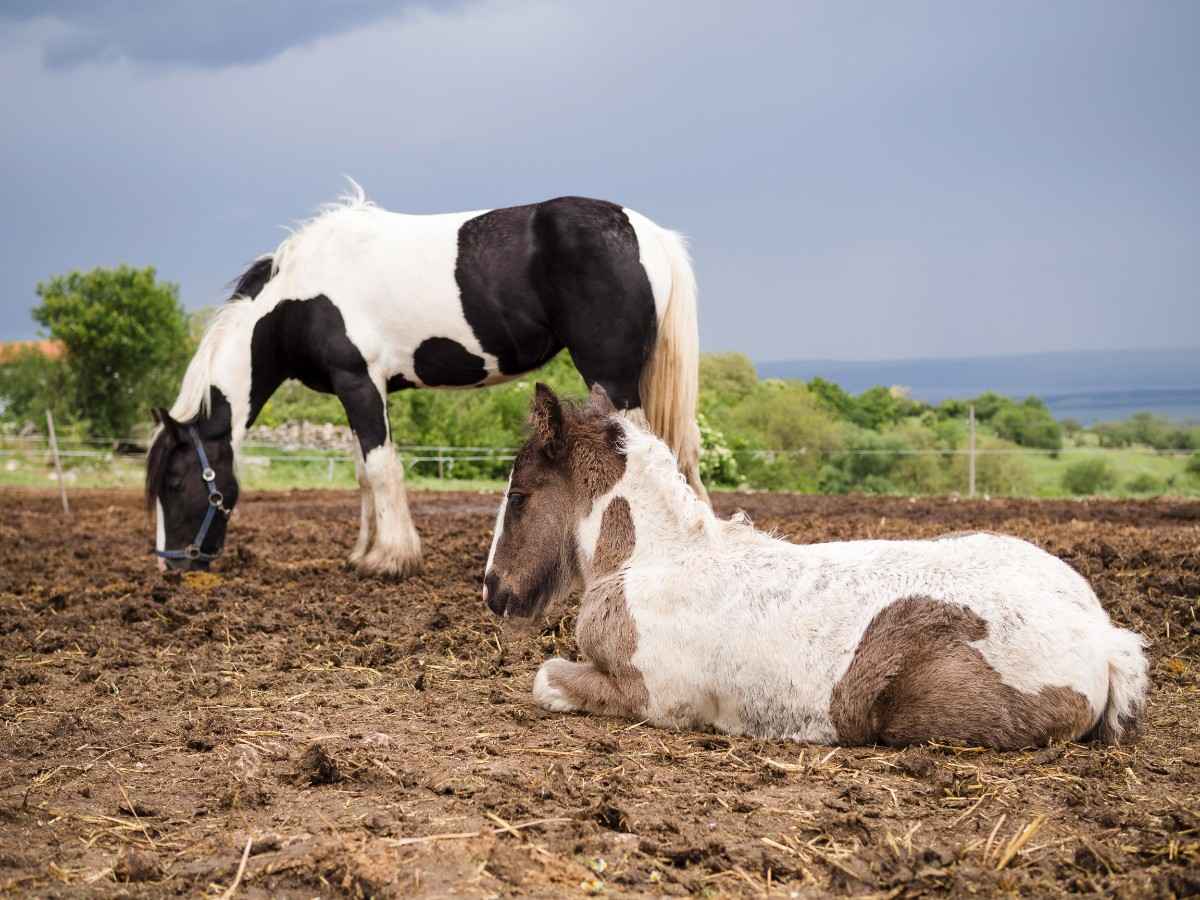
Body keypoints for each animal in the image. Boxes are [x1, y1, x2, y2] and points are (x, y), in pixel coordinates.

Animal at [146, 184, 707, 574]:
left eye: (173, 482)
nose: (172, 564)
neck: (299, 296)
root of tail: (649, 235)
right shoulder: (363, 389)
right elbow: (364, 473)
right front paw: (364, 552)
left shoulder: (358, 383)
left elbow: (380, 470)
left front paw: (390, 559)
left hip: (611, 375)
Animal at [483, 384, 1150, 749]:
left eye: (519, 496)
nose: (493, 590)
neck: (656, 559)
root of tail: (1102, 635)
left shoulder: (653, 699)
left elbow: (544, 677)